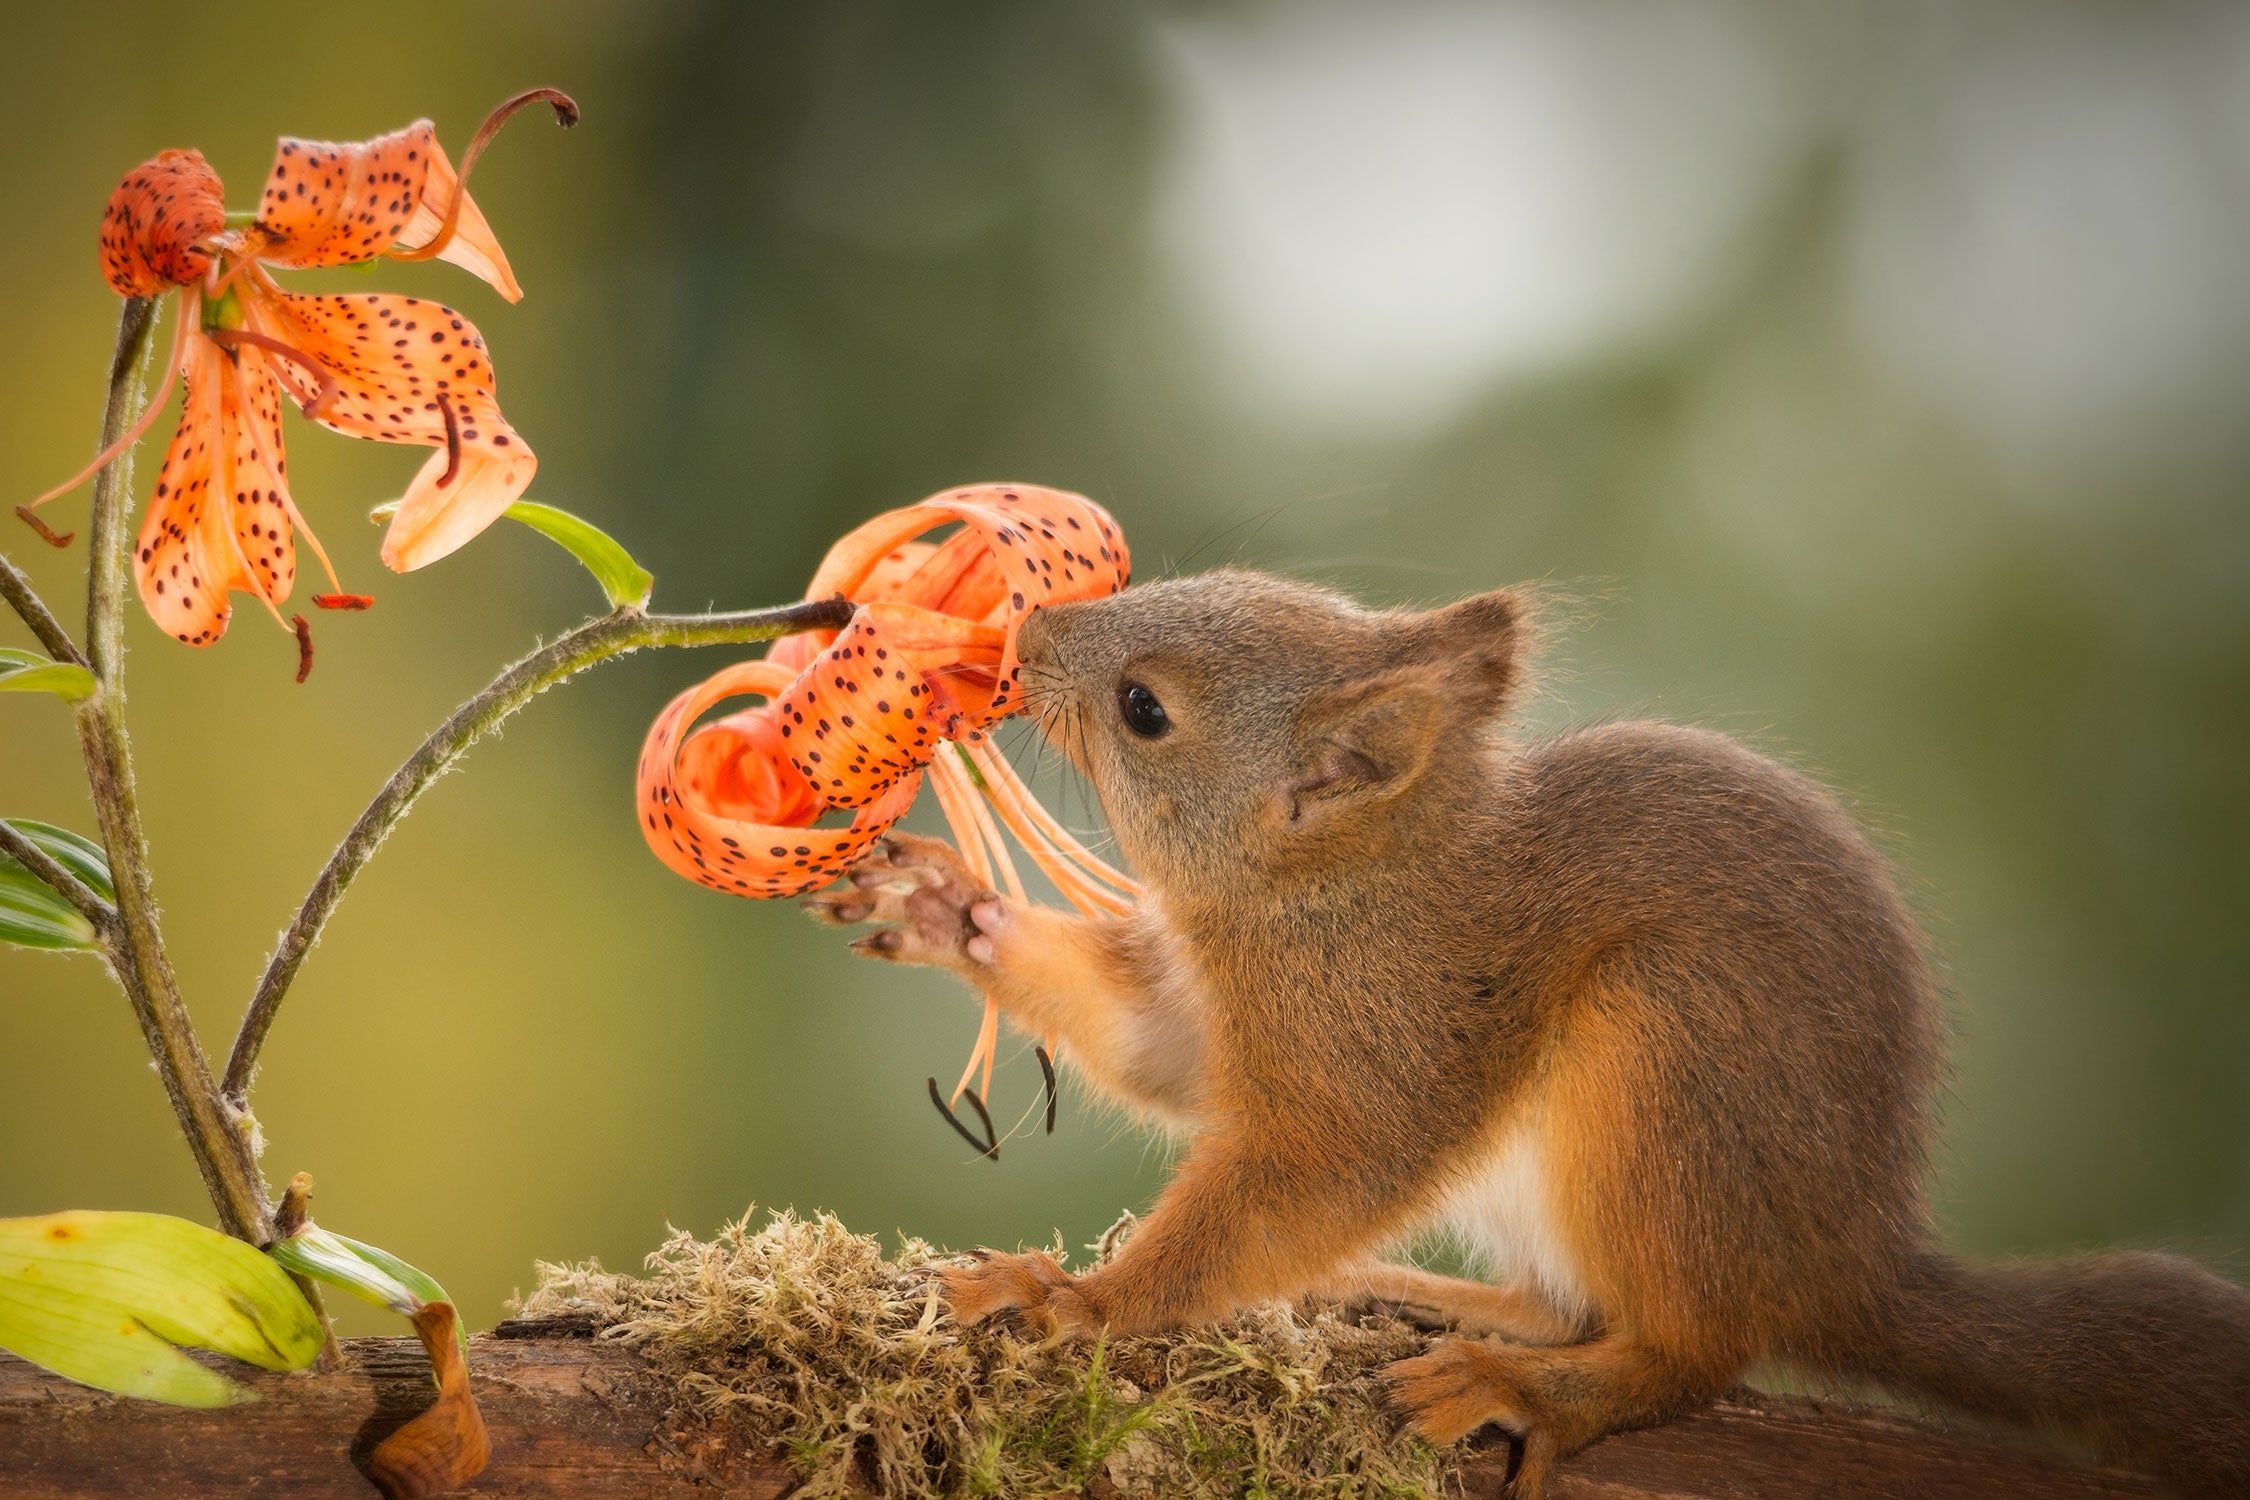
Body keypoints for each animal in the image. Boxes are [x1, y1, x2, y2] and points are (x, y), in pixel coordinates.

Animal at [810, 568, 2250, 1493]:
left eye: (1145, 711)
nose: (1028, 628)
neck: (1329, 890)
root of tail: (1842, 1264)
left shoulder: (1381, 1044)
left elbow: (1291, 1187)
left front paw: (1075, 1302)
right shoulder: (1222, 1019)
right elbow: (1160, 1053)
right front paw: (948, 908)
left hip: (1667, 1067)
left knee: (1686, 1350)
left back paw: (1529, 1388)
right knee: (1563, 1302)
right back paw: (1410, 1295)